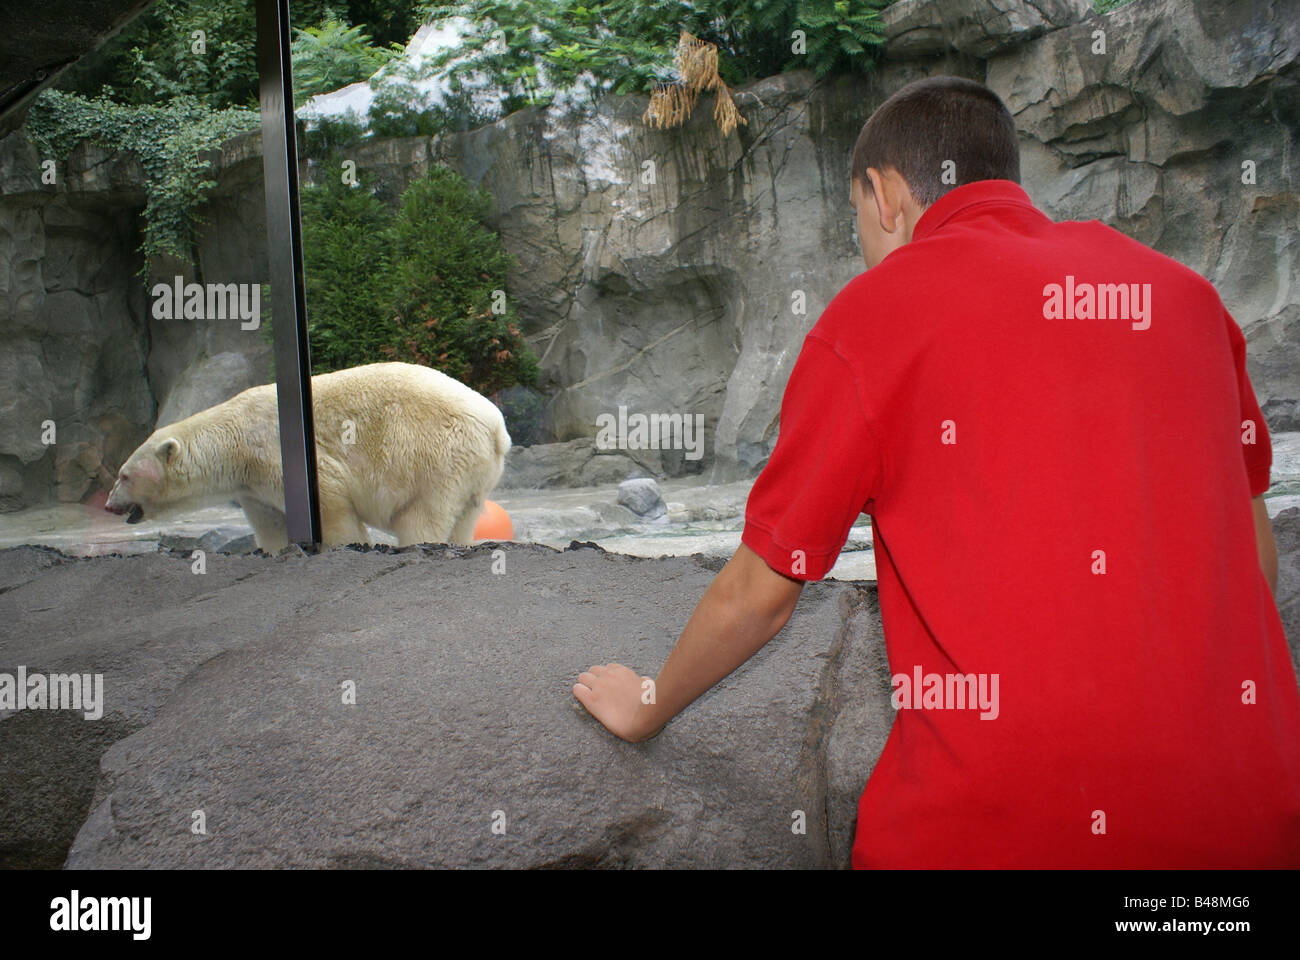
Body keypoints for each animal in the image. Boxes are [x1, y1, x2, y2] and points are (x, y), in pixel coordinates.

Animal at [104, 359, 509, 548]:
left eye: (124, 475)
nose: (109, 505)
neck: (236, 441)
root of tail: (495, 427)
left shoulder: (277, 456)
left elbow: (334, 509)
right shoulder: (254, 490)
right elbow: (271, 526)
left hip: (436, 455)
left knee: (420, 517)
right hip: (473, 471)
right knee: (463, 516)